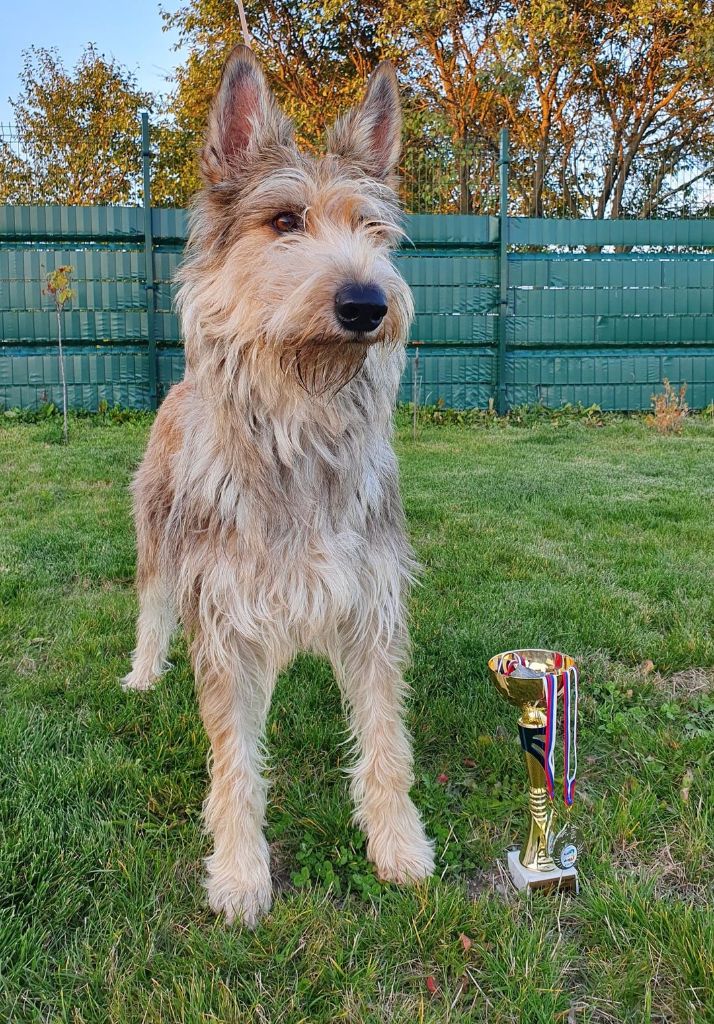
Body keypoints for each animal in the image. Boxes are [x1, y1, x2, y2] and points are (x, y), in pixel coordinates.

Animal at [121, 46, 434, 929]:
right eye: (286, 221)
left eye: (373, 231)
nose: (366, 303)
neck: (303, 433)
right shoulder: (226, 622)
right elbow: (235, 765)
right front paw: (238, 872)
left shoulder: (371, 607)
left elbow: (386, 745)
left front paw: (398, 844)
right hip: (158, 536)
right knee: (153, 604)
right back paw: (143, 672)